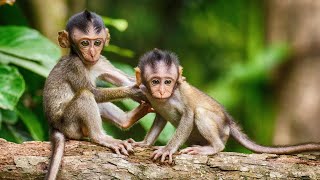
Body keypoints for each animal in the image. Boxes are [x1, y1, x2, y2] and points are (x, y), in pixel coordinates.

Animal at [132, 48, 320, 164]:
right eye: (155, 82)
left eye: (168, 82)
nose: (162, 91)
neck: (167, 97)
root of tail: (228, 122)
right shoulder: (147, 93)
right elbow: (160, 117)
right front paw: (145, 143)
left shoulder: (181, 93)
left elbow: (189, 115)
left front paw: (168, 149)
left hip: (221, 130)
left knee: (201, 113)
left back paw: (213, 147)